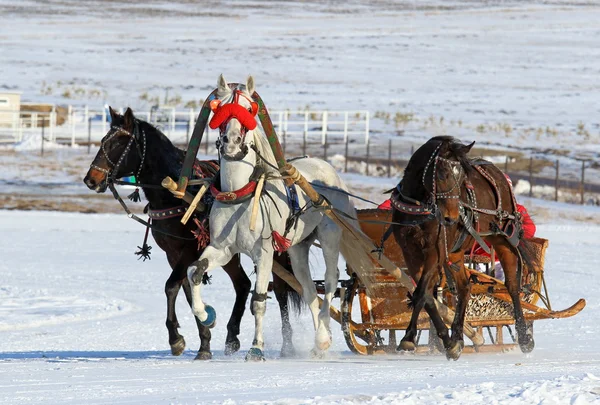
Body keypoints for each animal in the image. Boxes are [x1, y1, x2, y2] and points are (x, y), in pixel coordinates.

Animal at [84, 108, 300, 360]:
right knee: (243, 284)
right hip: (229, 251)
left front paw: (176, 338)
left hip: (274, 250)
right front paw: (203, 340)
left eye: (118, 142)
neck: (176, 193)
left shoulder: (190, 248)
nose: (91, 179)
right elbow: (186, 290)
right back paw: (232, 336)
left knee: (281, 291)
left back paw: (287, 345)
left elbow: (170, 286)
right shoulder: (174, 253)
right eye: (102, 141)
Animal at [188, 74, 356, 358]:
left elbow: (258, 300)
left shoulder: (264, 252)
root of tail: (327, 168)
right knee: (309, 289)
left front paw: (256, 348)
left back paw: (323, 337)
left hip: (329, 236)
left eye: (248, 108)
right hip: (297, 248)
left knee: (331, 282)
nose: (232, 143)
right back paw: (319, 344)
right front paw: (205, 314)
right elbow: (194, 272)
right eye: (220, 108)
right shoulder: (222, 248)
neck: (239, 195)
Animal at [392, 137, 536, 360]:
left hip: (502, 238)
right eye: (442, 174)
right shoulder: (410, 252)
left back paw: (524, 336)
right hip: (456, 252)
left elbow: (421, 293)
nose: (452, 217)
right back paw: (458, 335)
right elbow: (426, 295)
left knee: (512, 284)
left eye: (461, 178)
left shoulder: (435, 251)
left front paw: (414, 337)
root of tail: (498, 173)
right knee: (464, 287)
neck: (419, 207)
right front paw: (444, 340)